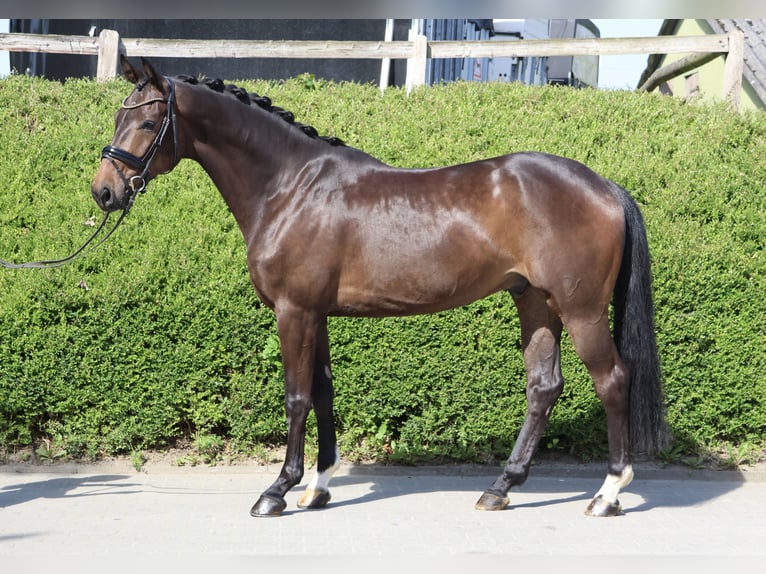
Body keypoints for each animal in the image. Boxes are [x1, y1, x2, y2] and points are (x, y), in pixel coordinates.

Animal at [92, 56, 668, 518]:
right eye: (119, 117)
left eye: (147, 121)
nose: (104, 192)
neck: (290, 187)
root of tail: (603, 185)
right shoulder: (316, 314)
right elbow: (323, 392)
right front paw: (318, 487)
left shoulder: (293, 311)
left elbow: (296, 396)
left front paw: (277, 490)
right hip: (536, 303)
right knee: (543, 388)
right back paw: (501, 488)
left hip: (580, 309)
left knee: (613, 380)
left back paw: (608, 493)